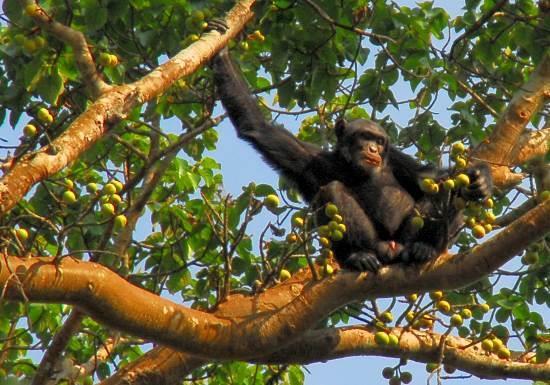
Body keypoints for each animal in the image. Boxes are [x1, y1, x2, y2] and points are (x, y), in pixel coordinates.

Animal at [212, 47, 496, 270]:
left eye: (379, 141)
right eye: (364, 136)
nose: (373, 149)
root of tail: (393, 250)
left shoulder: (397, 159)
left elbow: (430, 176)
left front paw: (481, 179)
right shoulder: (309, 158)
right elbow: (258, 127)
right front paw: (222, 54)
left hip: (406, 238)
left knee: (441, 189)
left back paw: (424, 248)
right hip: (376, 244)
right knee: (333, 191)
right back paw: (358, 256)